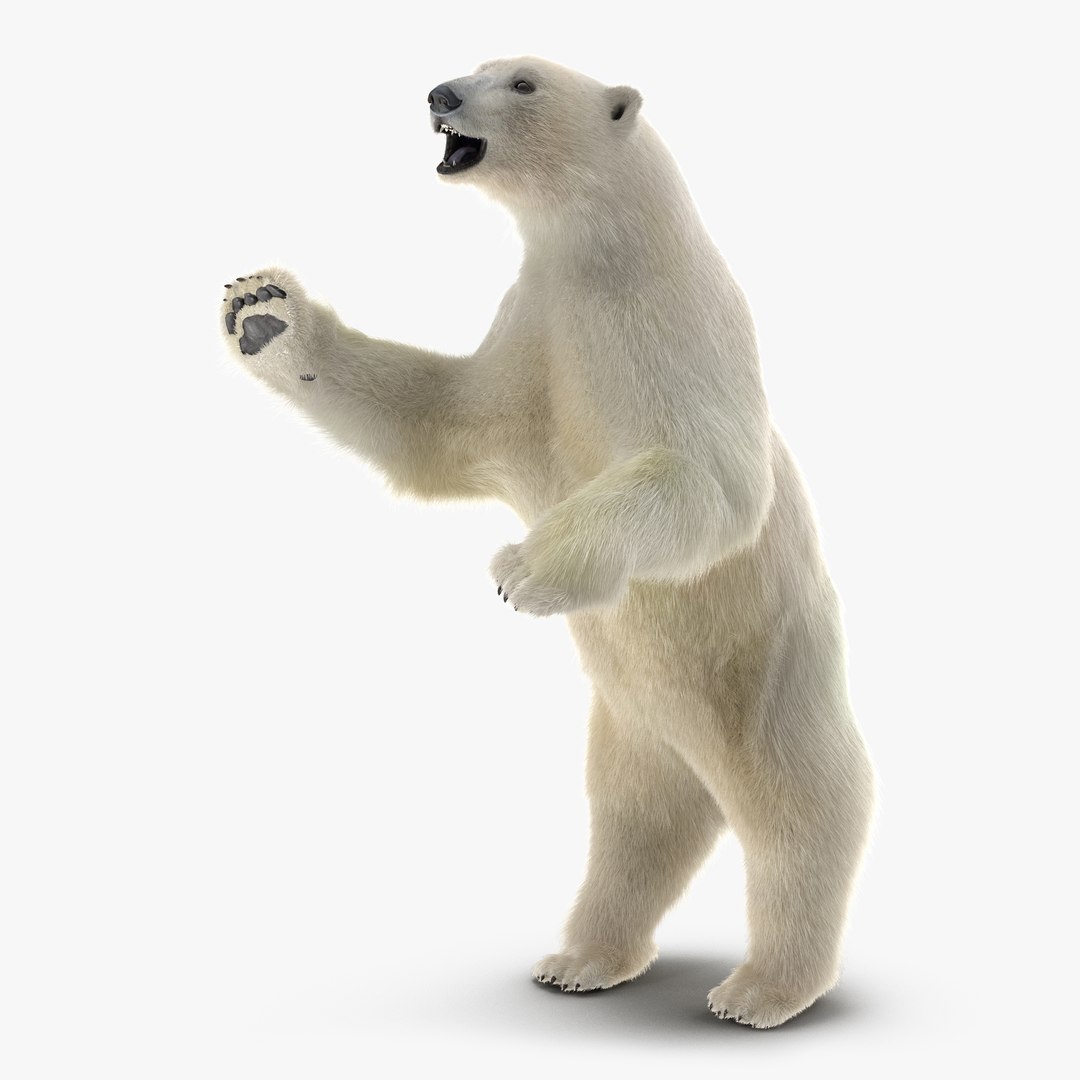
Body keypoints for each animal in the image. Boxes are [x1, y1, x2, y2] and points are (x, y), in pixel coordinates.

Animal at [219, 55, 876, 1029]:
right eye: (479, 64)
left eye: (523, 82)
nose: (440, 94)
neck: (604, 258)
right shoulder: (534, 334)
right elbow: (439, 425)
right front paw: (263, 313)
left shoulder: (677, 326)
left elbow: (712, 483)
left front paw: (523, 570)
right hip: (636, 721)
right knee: (634, 821)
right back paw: (581, 958)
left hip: (770, 673)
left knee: (803, 812)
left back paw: (760, 990)